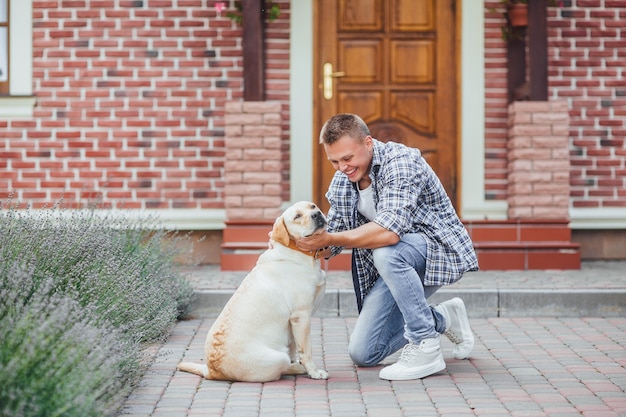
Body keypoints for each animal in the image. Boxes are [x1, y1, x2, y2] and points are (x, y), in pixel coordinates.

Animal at [177, 201, 330, 380]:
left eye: (312, 206)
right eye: (297, 216)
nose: (317, 214)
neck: (297, 253)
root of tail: (212, 371)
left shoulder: (292, 323)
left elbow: (294, 347)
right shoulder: (301, 316)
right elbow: (306, 351)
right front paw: (314, 372)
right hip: (278, 357)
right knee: (282, 368)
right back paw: (298, 369)